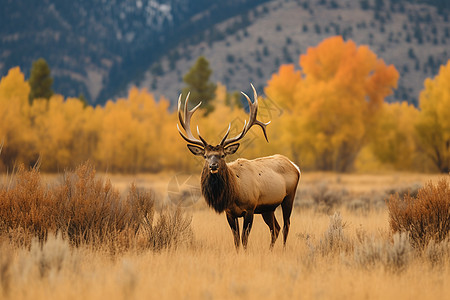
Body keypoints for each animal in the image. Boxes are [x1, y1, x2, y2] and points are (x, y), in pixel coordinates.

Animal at [178, 84, 300, 248]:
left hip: (289, 197)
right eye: (205, 156)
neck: (234, 193)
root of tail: (295, 166)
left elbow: (244, 239)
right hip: (268, 208)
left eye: (222, 155)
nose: (213, 166)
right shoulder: (230, 213)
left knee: (286, 225)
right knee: (276, 228)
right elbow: (236, 240)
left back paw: (283, 249)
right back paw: (270, 250)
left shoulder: (249, 208)